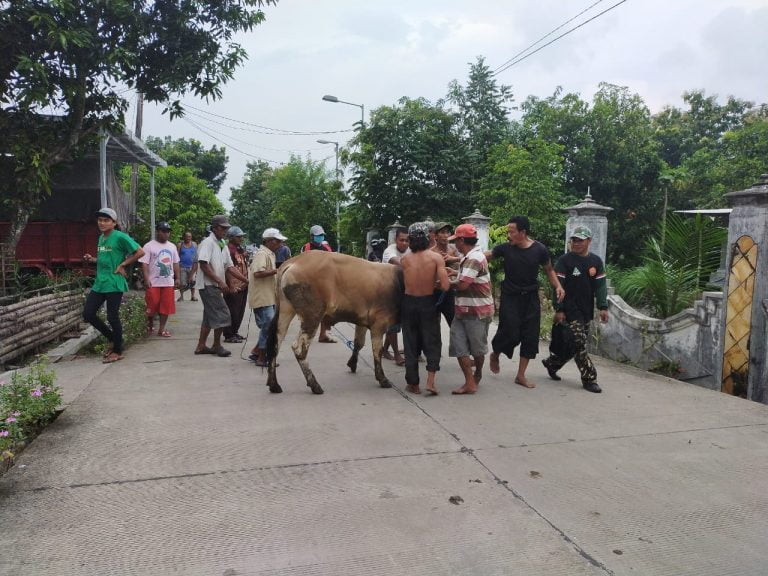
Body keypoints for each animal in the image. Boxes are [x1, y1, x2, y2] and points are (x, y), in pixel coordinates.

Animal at [266, 250, 402, 394]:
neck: (398, 281)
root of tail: (295, 261)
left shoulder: (362, 321)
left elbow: (359, 343)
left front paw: (352, 364)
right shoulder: (379, 324)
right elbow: (377, 350)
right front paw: (382, 379)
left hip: (286, 311)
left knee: (275, 344)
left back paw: (274, 384)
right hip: (312, 316)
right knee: (299, 349)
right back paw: (314, 385)